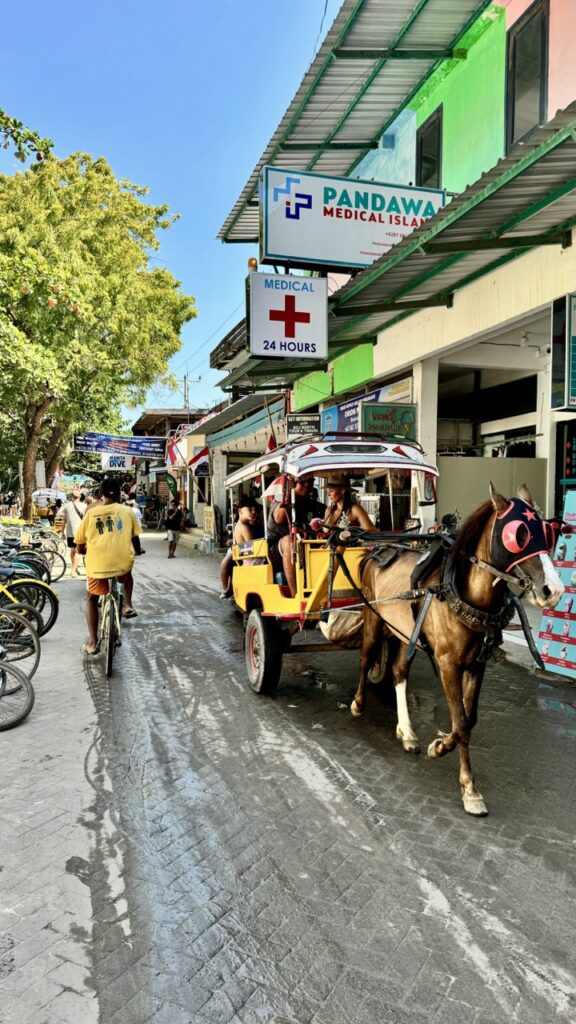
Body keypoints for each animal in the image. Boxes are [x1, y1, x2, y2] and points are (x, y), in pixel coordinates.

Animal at [350, 485, 561, 815]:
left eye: (549, 533)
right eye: (519, 535)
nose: (554, 590)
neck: (463, 594)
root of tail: (377, 549)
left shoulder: (477, 663)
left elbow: (468, 719)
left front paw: (440, 747)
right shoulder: (448, 663)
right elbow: (460, 722)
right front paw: (468, 787)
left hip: (403, 631)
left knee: (398, 671)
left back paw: (407, 732)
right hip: (373, 617)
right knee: (365, 657)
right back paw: (358, 704)